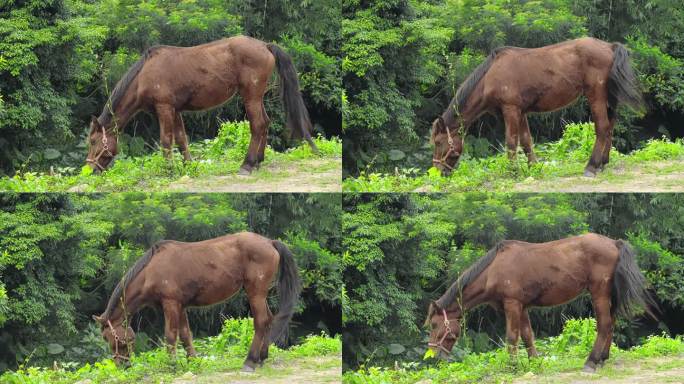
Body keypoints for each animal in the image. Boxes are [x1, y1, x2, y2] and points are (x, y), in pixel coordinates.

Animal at [86, 36, 318, 174]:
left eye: (93, 141)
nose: (89, 169)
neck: (144, 75)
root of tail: (265, 45)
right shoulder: (175, 110)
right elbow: (181, 139)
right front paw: (188, 166)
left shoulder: (164, 108)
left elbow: (166, 140)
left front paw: (168, 170)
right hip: (256, 97)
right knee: (266, 123)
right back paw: (258, 161)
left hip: (250, 96)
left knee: (258, 125)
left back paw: (247, 164)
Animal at [92, 231, 300, 372]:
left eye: (108, 337)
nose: (122, 365)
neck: (151, 272)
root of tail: (270, 242)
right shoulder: (180, 306)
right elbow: (185, 335)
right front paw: (192, 361)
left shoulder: (171, 304)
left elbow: (170, 335)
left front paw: (172, 365)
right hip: (260, 294)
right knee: (269, 320)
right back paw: (262, 357)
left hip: (255, 292)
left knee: (261, 322)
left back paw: (250, 361)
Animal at [424, 232, 656, 374]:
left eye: (434, 325)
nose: (434, 354)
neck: (493, 270)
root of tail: (614, 243)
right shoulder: (522, 307)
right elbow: (528, 335)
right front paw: (535, 362)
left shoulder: (512, 305)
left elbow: (512, 337)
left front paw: (512, 367)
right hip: (609, 296)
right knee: (611, 323)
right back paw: (602, 358)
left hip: (599, 293)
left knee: (605, 325)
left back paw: (591, 361)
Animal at [430, 37, 644, 177]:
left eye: (439, 143)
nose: (438, 171)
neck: (490, 76)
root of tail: (609, 47)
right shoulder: (521, 112)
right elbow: (526, 141)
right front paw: (533, 166)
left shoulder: (510, 110)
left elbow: (511, 141)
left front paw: (513, 171)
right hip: (609, 99)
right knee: (610, 127)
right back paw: (603, 163)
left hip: (596, 96)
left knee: (602, 128)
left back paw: (591, 166)